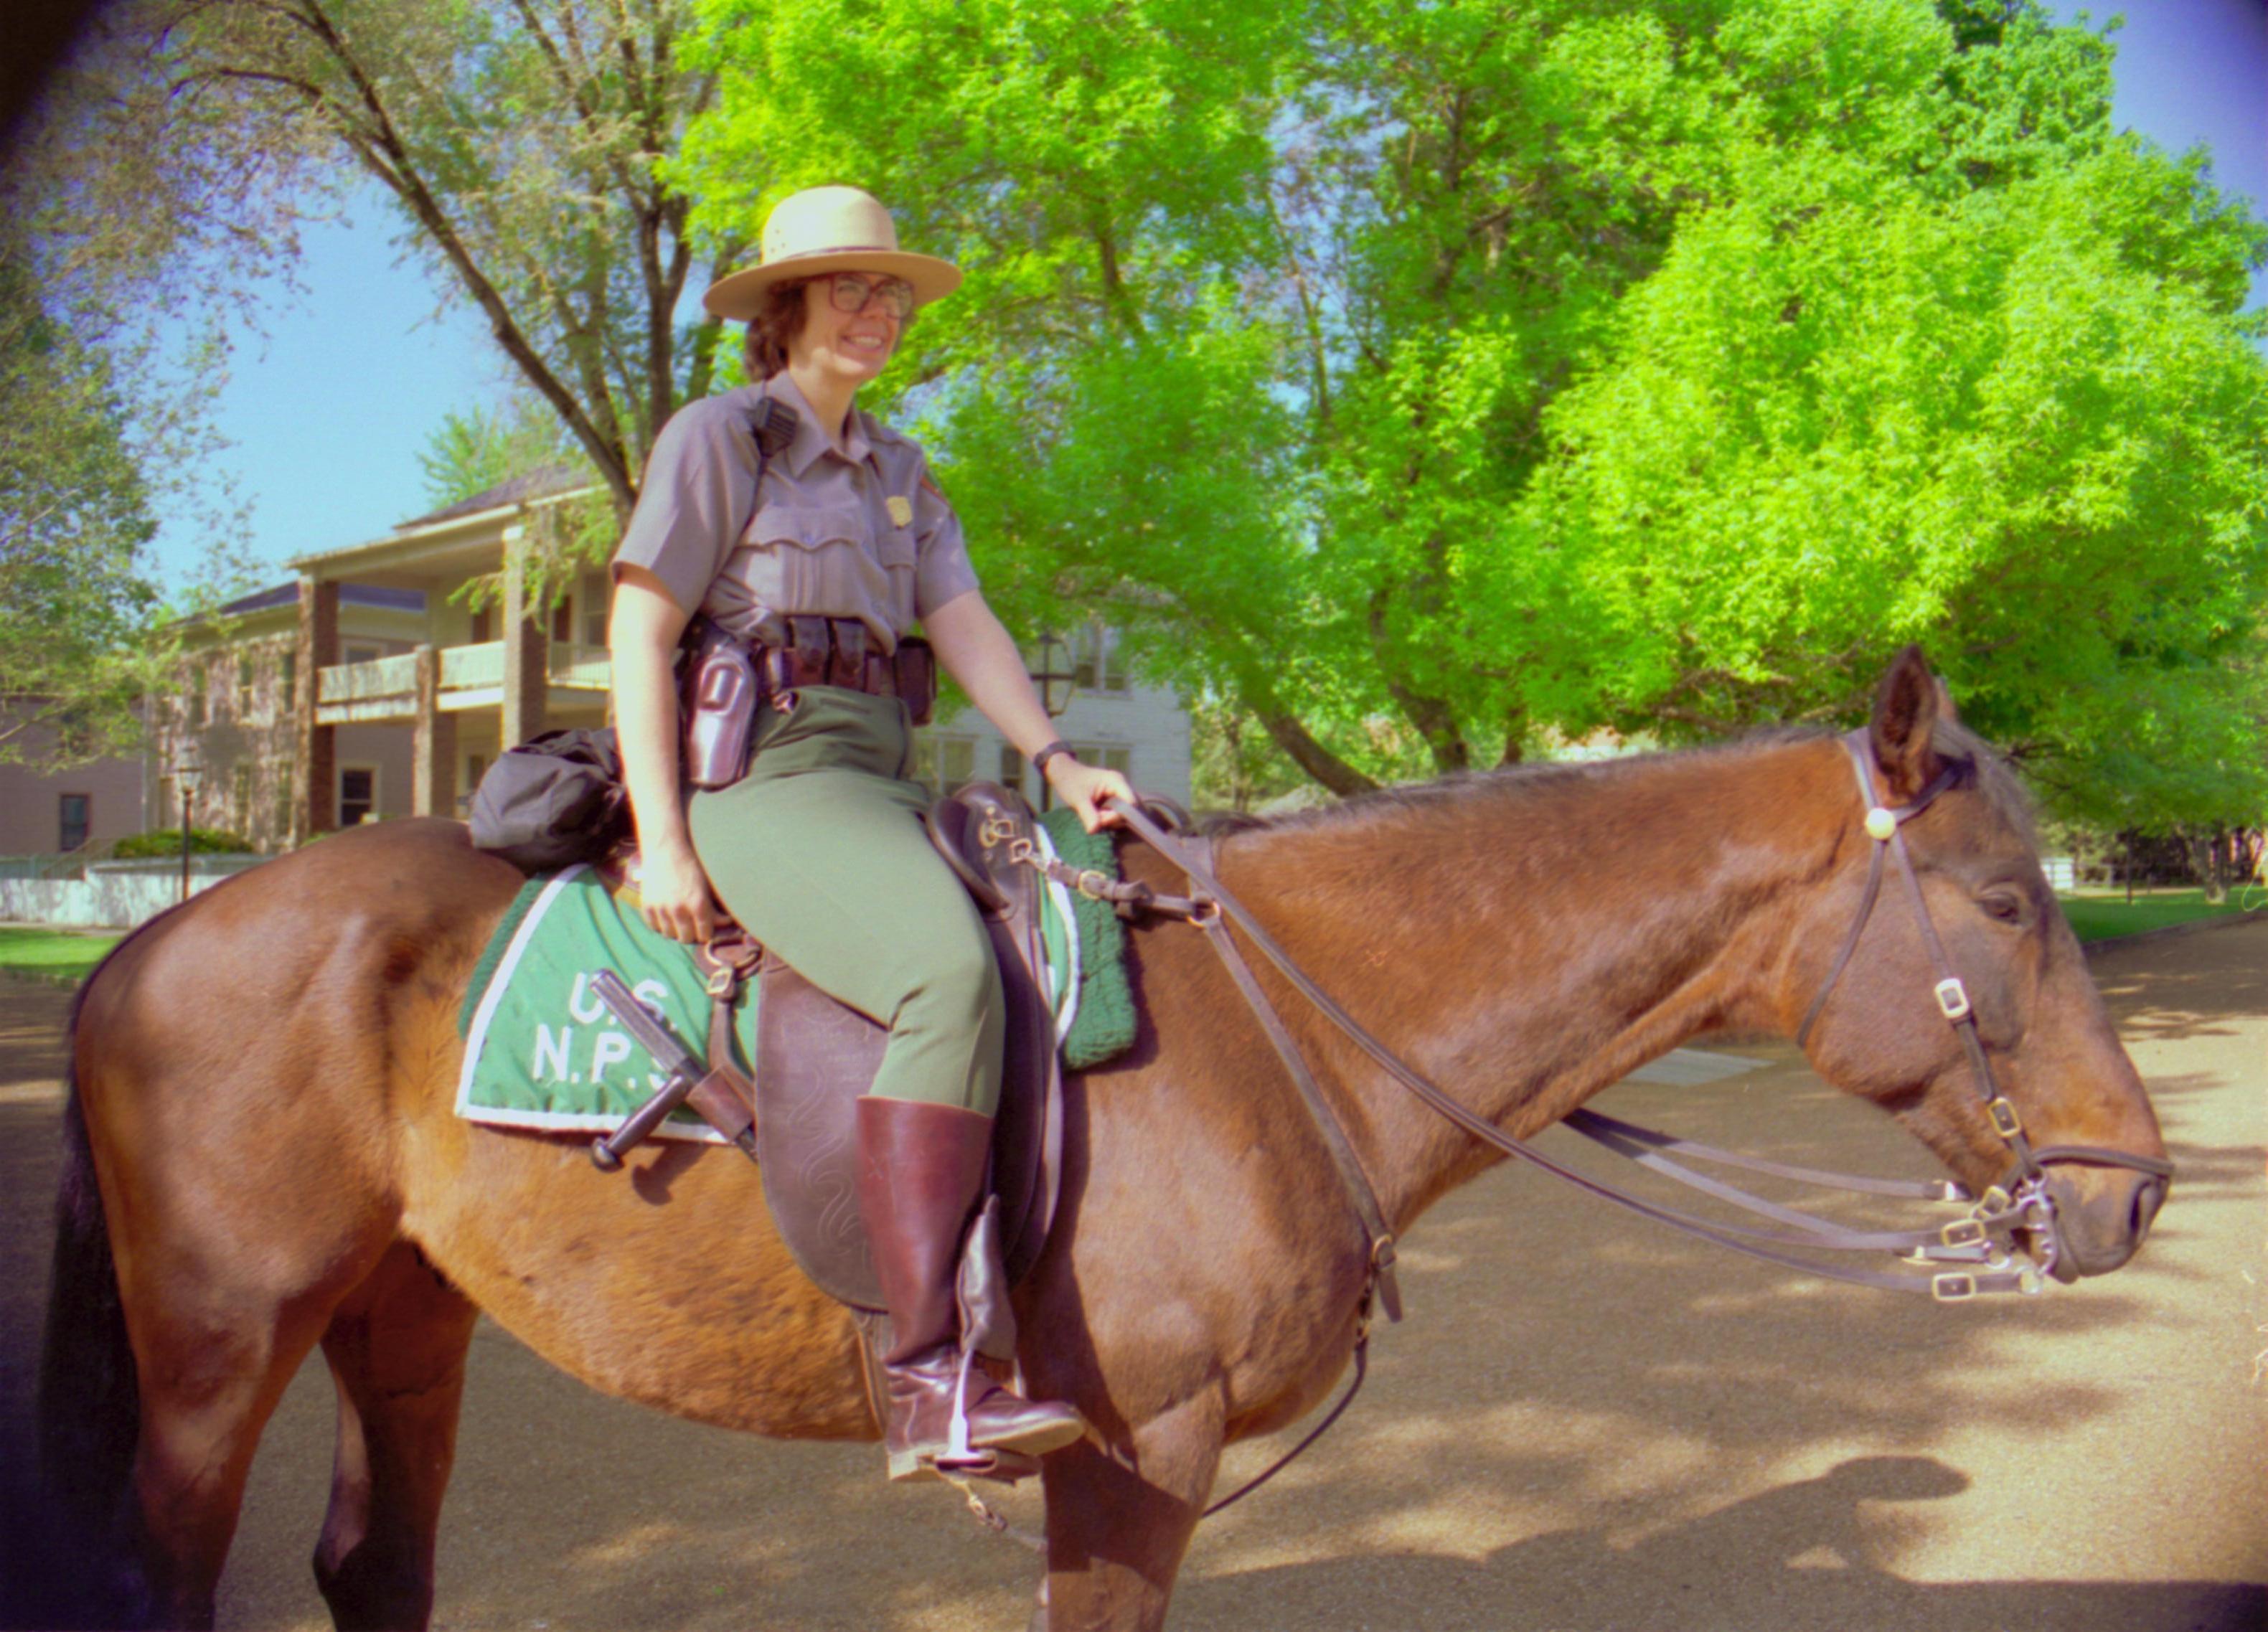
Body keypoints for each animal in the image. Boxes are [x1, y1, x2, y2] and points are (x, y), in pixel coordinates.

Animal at [35, 653, 2159, 1632]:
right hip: (218, 1349)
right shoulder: (1134, 1458)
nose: (2135, 1185)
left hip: (400, 1316)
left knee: (371, 1563)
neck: (1275, 1027)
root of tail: (144, 941)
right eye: (2000, 904)